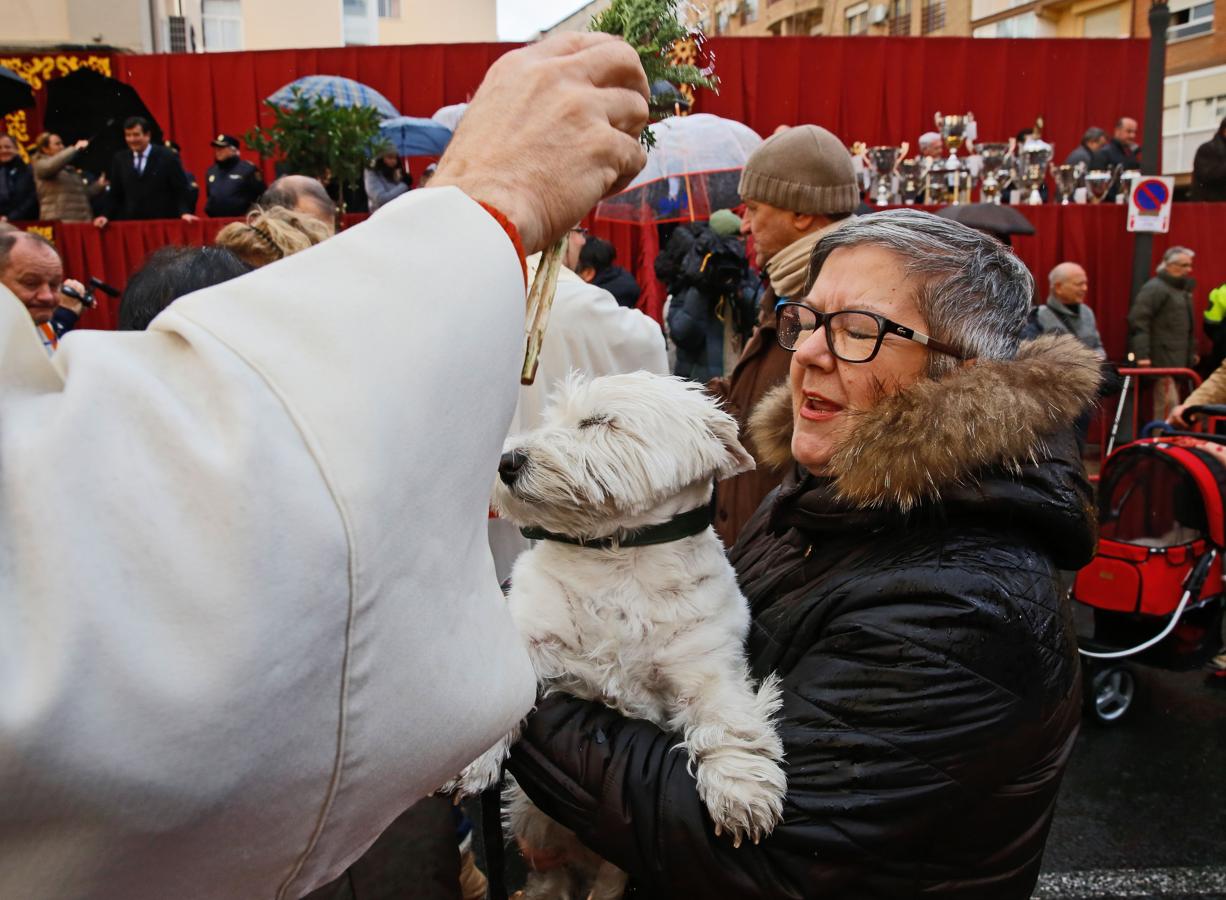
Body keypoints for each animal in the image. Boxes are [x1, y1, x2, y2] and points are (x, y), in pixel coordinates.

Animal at [451, 370, 784, 897]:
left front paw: (742, 793)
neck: (617, 556)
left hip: (609, 869)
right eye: (550, 419)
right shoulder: (530, 633)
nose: (506, 462)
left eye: (597, 421)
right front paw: (476, 755)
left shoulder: (706, 663)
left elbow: (727, 717)